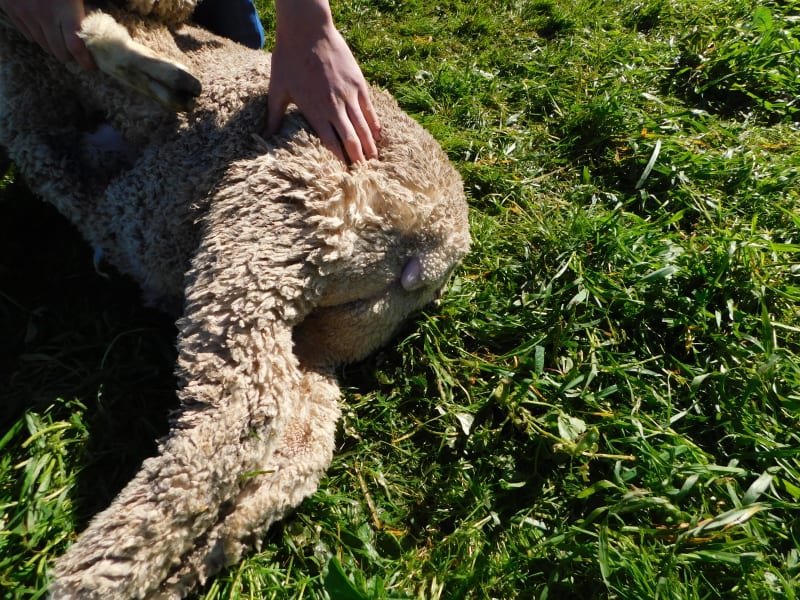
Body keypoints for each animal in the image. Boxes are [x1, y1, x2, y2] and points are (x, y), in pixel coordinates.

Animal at [0, 5, 471, 599]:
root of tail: (436, 248)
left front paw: (149, 69)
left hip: (272, 214)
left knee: (242, 412)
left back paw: (95, 574)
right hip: (319, 331)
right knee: (295, 445)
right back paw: (195, 560)